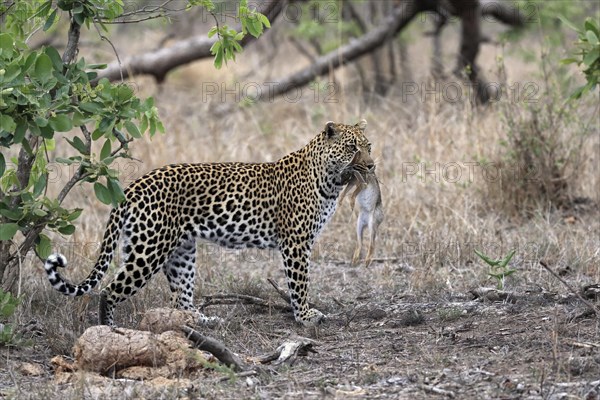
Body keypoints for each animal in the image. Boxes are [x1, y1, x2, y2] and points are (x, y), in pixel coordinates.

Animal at [44, 120, 376, 326]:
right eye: (351, 148)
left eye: (368, 146)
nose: (372, 165)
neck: (330, 179)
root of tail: (133, 186)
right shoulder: (296, 242)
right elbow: (300, 282)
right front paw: (305, 316)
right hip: (148, 250)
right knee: (109, 291)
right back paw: (109, 330)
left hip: (181, 251)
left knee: (181, 298)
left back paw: (201, 321)